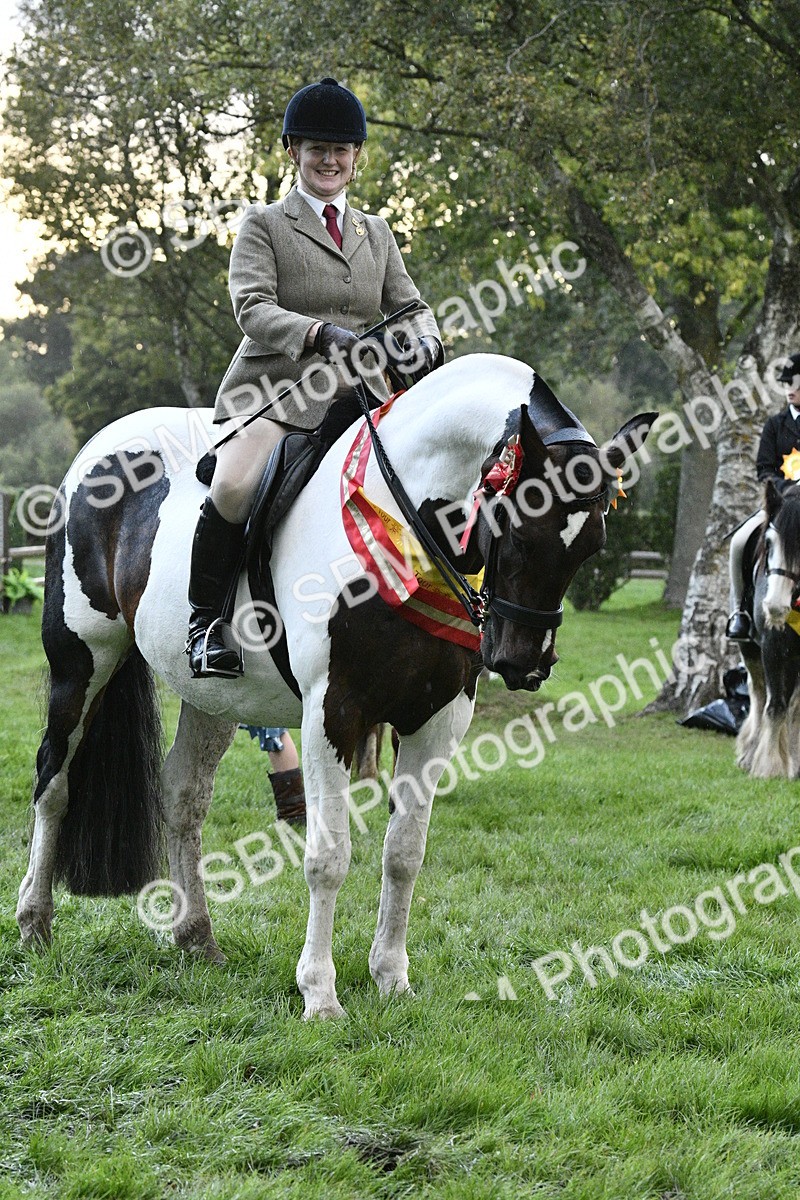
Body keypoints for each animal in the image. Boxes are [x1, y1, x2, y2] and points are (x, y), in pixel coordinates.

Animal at [16, 353, 655, 1019]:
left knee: (183, 795)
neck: (403, 519)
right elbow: (328, 857)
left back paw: (196, 938)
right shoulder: (334, 712)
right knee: (53, 778)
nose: (524, 662)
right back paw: (35, 922)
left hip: (211, 695)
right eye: (519, 526)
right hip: (81, 662)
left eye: (593, 546)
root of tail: (99, 448)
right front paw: (320, 994)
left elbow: (404, 854)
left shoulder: (438, 718)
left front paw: (391, 977)